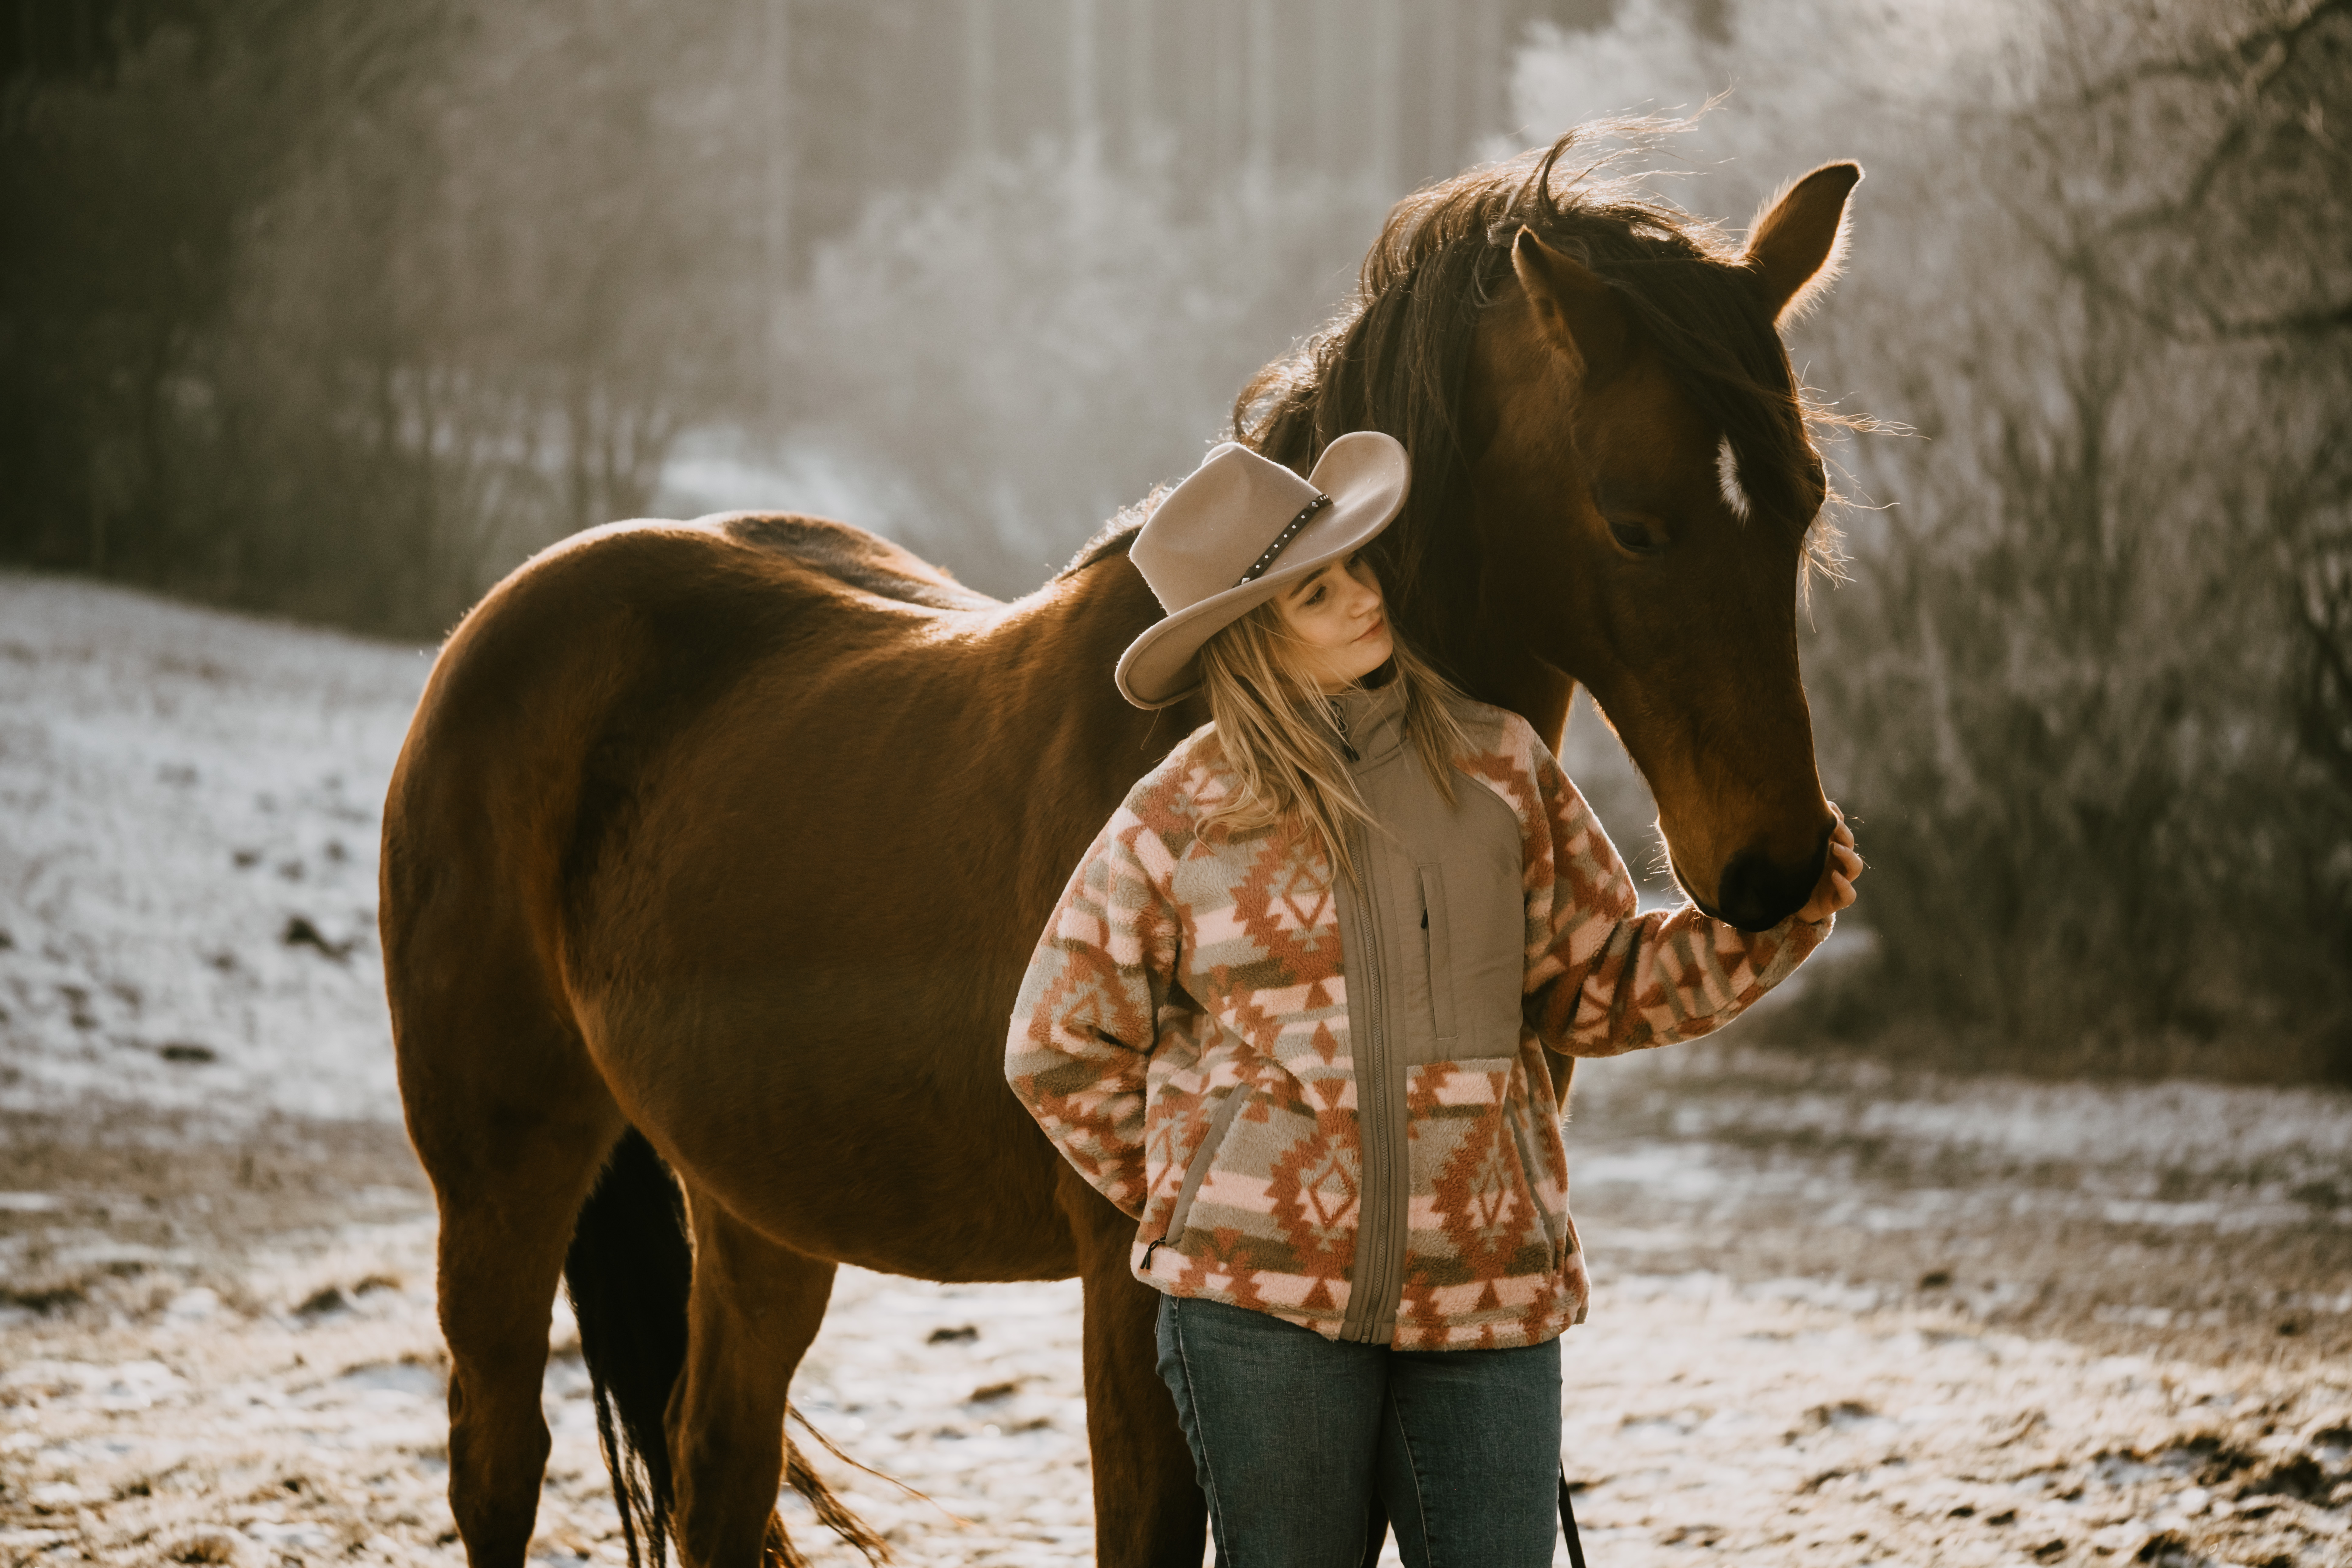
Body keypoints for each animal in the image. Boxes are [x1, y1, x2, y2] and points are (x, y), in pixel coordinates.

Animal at [381, 131, 1862, 1568]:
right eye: (1633, 520)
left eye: (1804, 500)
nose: (1775, 864)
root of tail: (508, 617)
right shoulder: (1130, 1293)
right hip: (503, 1177)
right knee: (498, 1464)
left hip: (758, 1202)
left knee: (717, 1473)